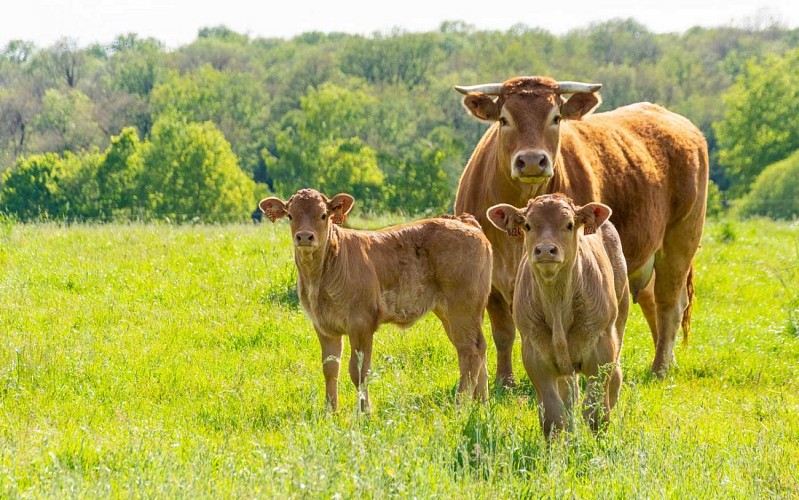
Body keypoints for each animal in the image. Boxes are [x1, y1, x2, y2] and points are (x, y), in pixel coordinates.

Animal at [259, 188, 492, 411]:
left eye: (323, 215)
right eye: (290, 215)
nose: (305, 237)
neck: (319, 277)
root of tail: (462, 221)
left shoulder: (361, 324)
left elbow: (359, 371)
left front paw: (364, 411)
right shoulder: (324, 326)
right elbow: (330, 368)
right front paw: (330, 411)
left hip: (461, 307)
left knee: (470, 350)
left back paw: (461, 404)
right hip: (455, 312)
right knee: (477, 347)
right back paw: (480, 402)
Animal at [454, 76, 708, 383]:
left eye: (556, 118)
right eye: (504, 119)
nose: (531, 161)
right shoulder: (492, 281)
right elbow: (503, 334)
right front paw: (506, 381)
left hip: (681, 239)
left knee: (669, 305)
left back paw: (659, 369)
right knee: (652, 303)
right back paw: (667, 363)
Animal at [487, 194, 628, 439]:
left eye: (569, 224)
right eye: (527, 225)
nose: (545, 250)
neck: (557, 307)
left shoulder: (601, 350)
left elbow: (595, 412)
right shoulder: (535, 355)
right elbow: (553, 414)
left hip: (619, 319)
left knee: (614, 378)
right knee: (569, 393)